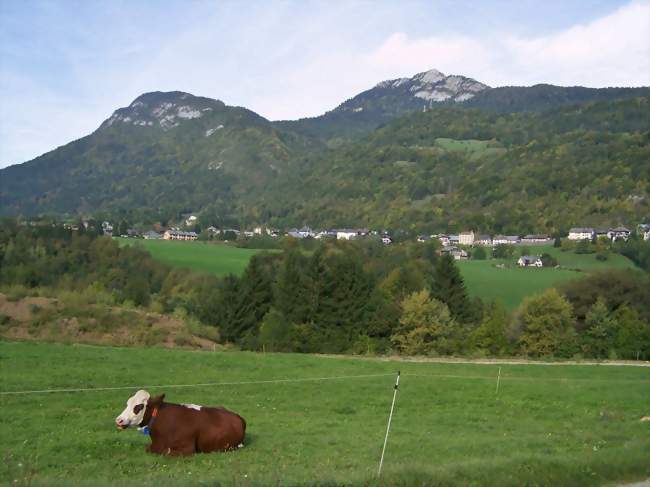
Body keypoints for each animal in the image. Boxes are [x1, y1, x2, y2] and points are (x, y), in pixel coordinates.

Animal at [114, 390, 246, 456]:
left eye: (138, 406)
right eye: (127, 403)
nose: (118, 420)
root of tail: (237, 415)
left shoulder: (187, 448)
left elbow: (166, 452)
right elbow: (148, 449)